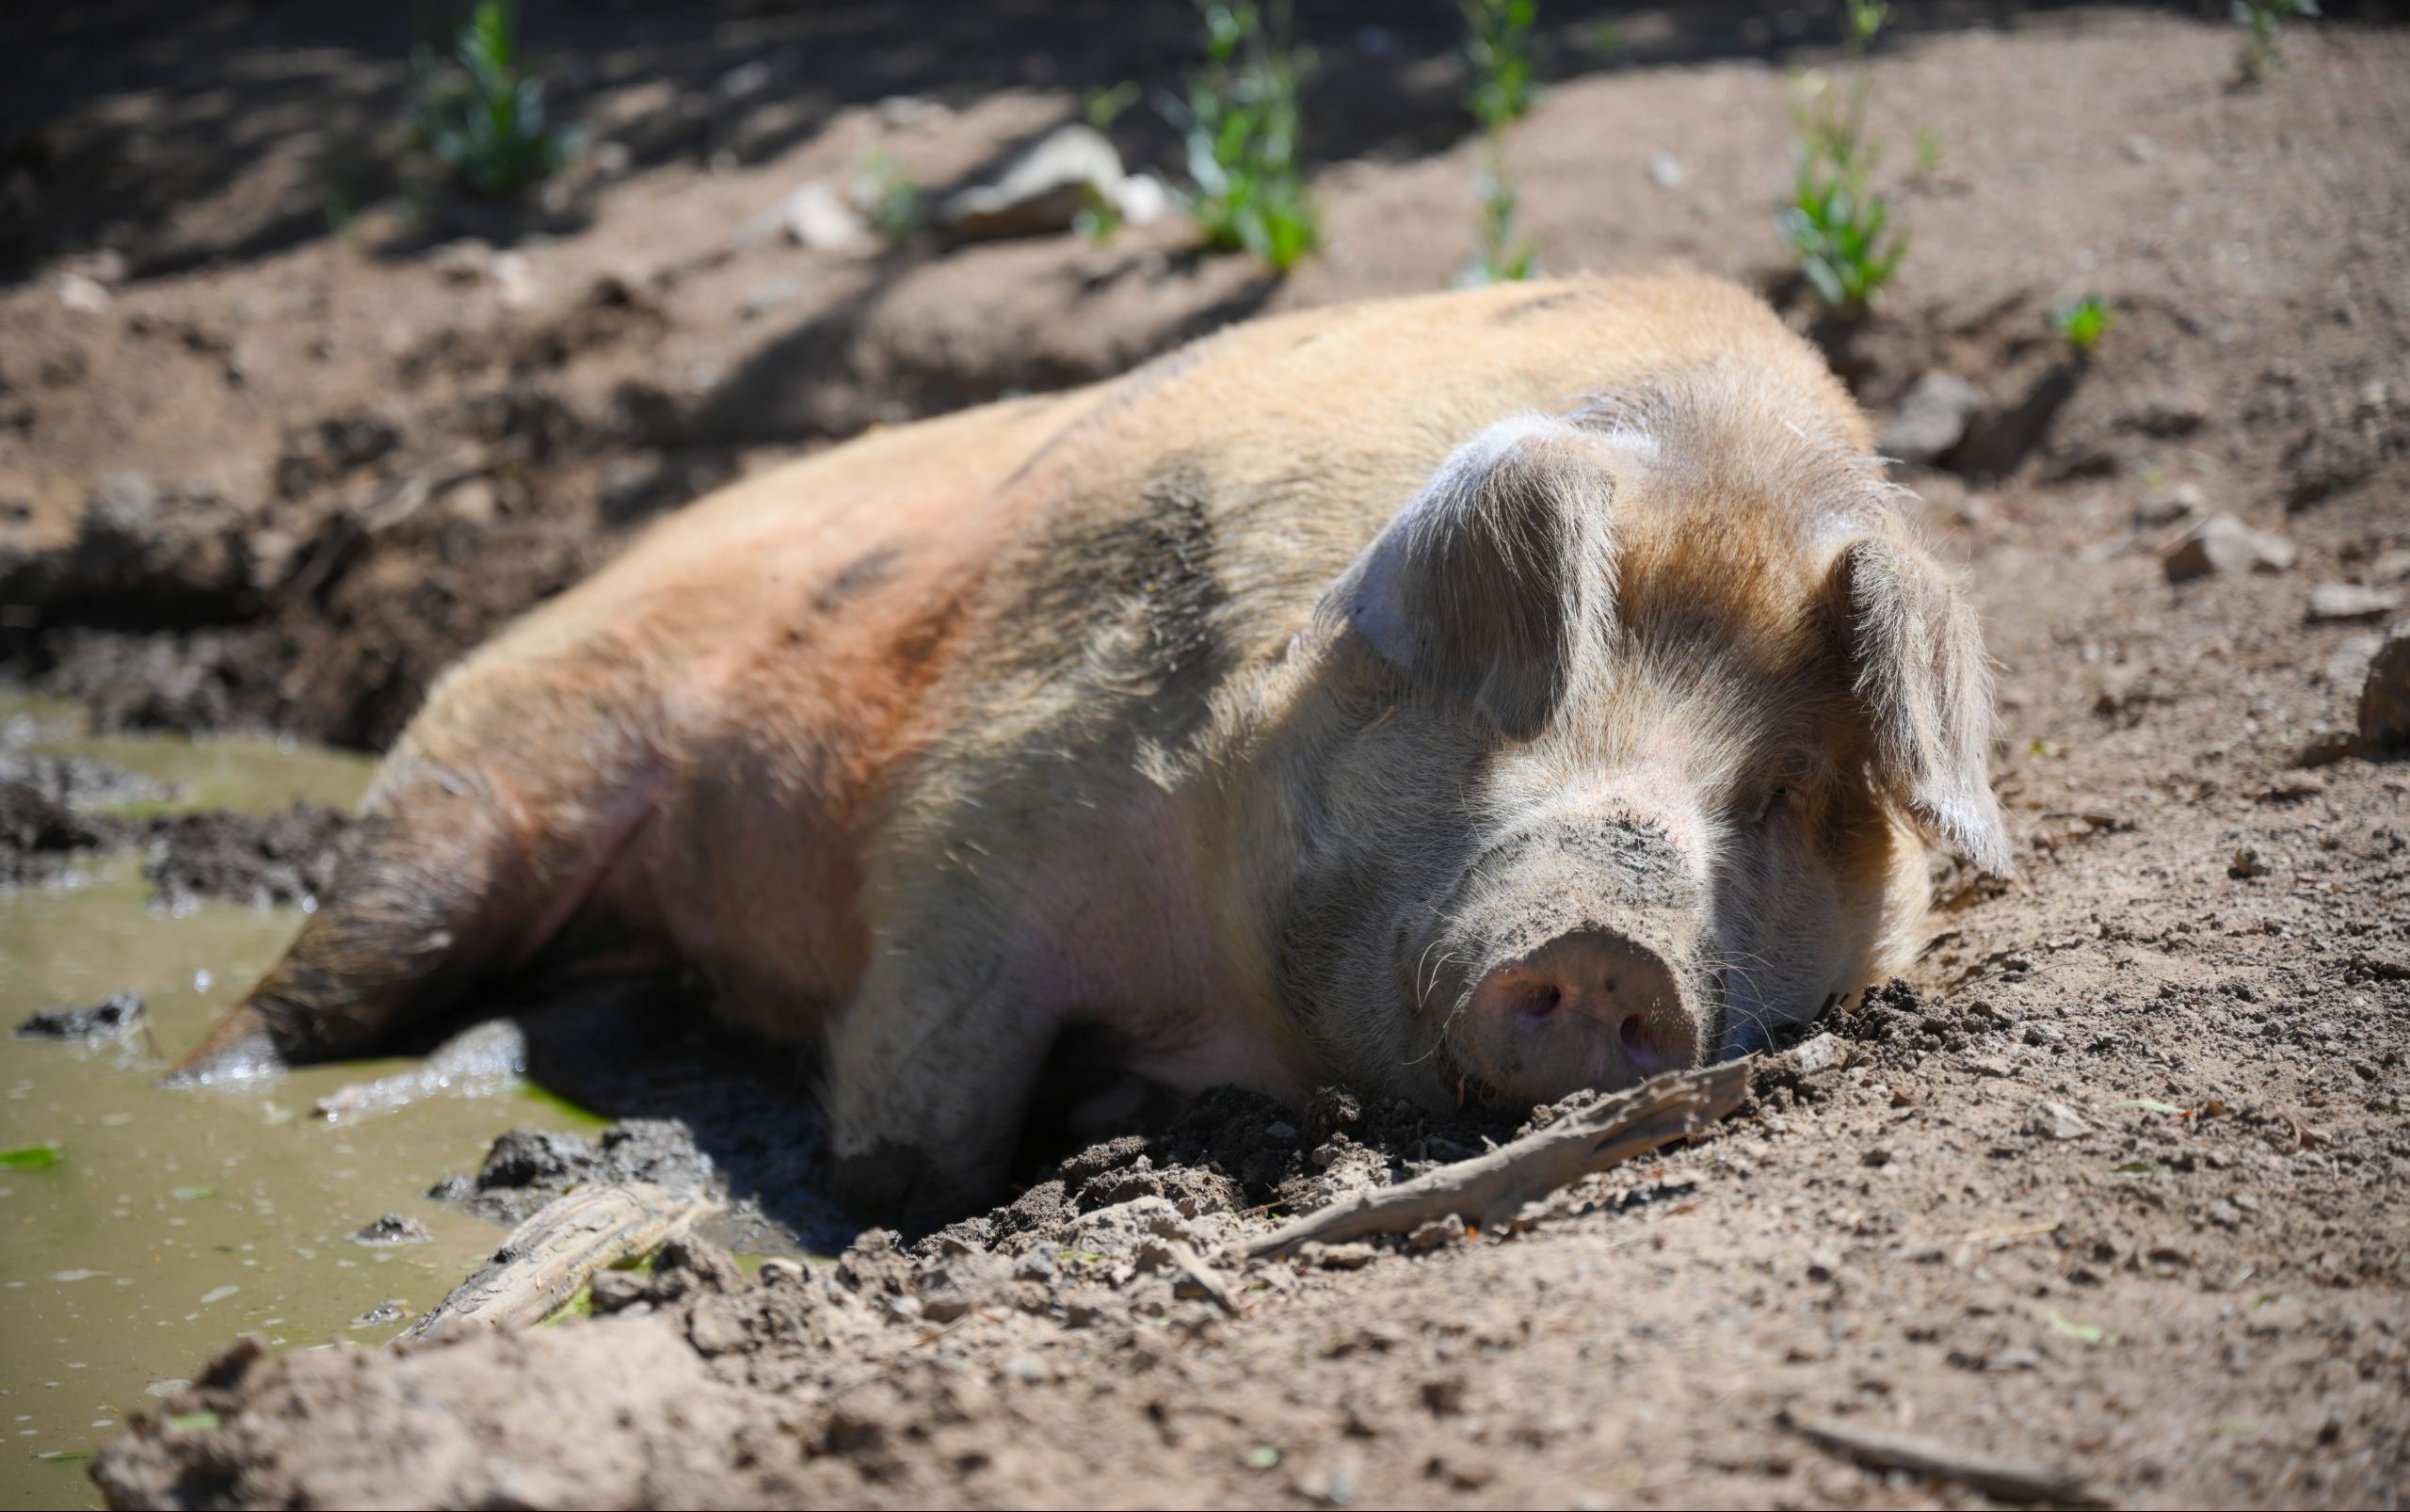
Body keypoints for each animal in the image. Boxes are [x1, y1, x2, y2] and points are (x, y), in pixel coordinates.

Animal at [174, 275, 2015, 1220]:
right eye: (1522, 709)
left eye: (1779, 792)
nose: (1611, 946)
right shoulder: (983, 822)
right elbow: (923, 1110)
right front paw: (890, 1198)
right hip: (476, 779)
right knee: (316, 985)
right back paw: (213, 1088)